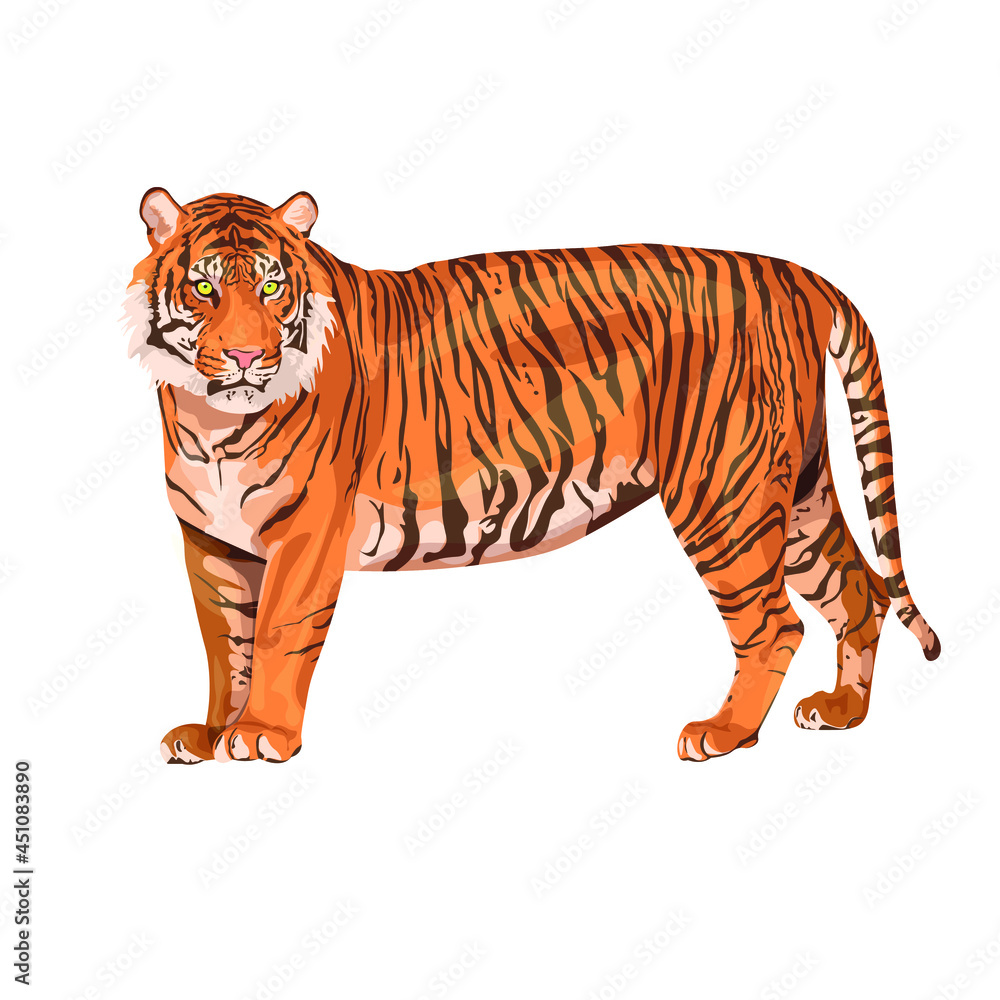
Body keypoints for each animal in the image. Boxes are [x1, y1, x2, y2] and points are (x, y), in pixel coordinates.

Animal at [124, 187, 940, 765]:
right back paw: (842, 713)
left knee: (773, 624)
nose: (245, 358)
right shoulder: (212, 542)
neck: (210, 421)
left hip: (724, 492)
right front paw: (211, 735)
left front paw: (263, 733)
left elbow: (277, 636)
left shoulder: (306, 533)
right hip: (793, 489)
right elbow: (226, 645)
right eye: (203, 289)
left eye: (270, 289)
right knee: (856, 587)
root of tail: (796, 276)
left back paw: (725, 732)